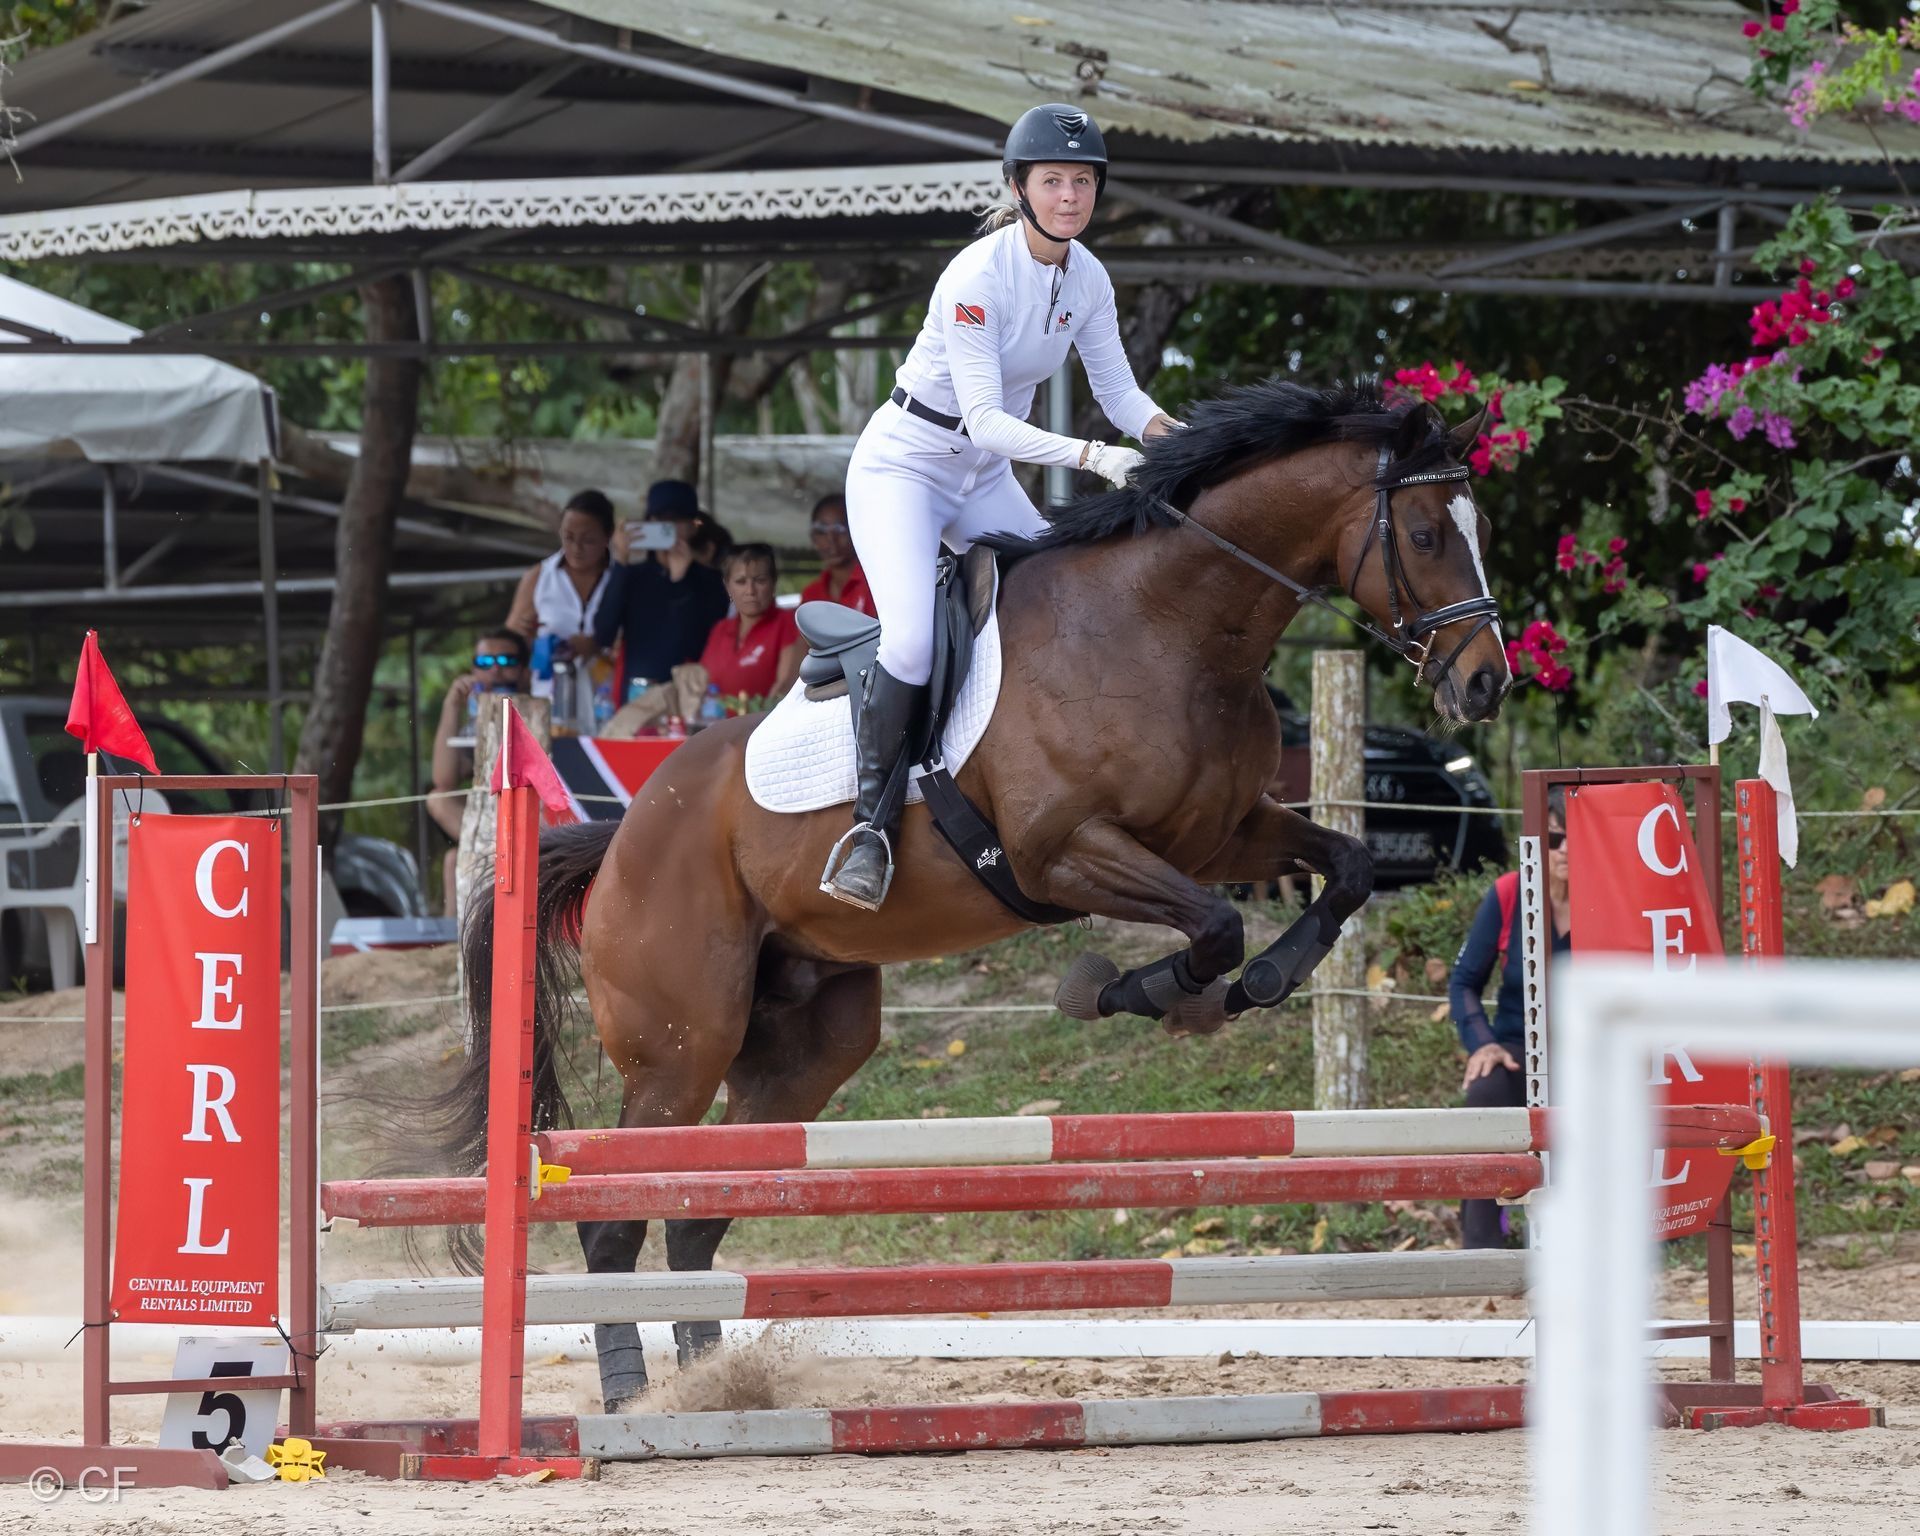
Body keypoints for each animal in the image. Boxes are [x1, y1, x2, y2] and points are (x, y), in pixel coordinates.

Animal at [445, 376, 1512, 1409]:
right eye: (1425, 535)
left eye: (1481, 529)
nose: (1486, 686)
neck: (1170, 626)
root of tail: (626, 834)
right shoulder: (1064, 854)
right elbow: (1210, 928)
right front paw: (1141, 993)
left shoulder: (1223, 833)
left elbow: (1346, 870)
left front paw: (1262, 981)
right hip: (679, 1049)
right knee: (615, 1219)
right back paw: (632, 1392)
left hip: (804, 1049)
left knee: (698, 1220)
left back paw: (714, 1384)